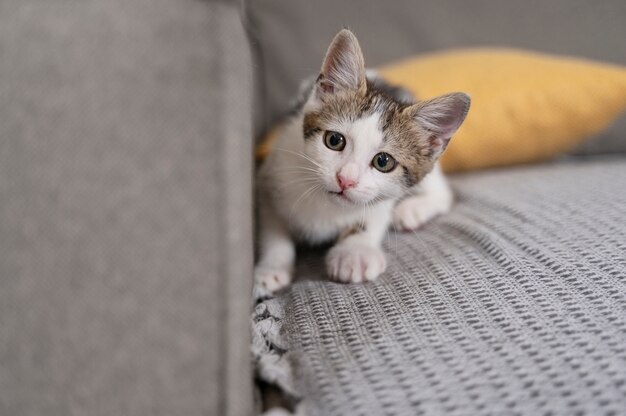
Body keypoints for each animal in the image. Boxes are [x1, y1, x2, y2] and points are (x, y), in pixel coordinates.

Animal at [254, 29, 468, 294]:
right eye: (334, 140)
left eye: (383, 161)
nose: (345, 180)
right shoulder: (271, 176)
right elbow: (273, 230)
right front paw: (270, 268)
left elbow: (374, 214)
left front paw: (354, 253)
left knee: (444, 192)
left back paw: (412, 210)